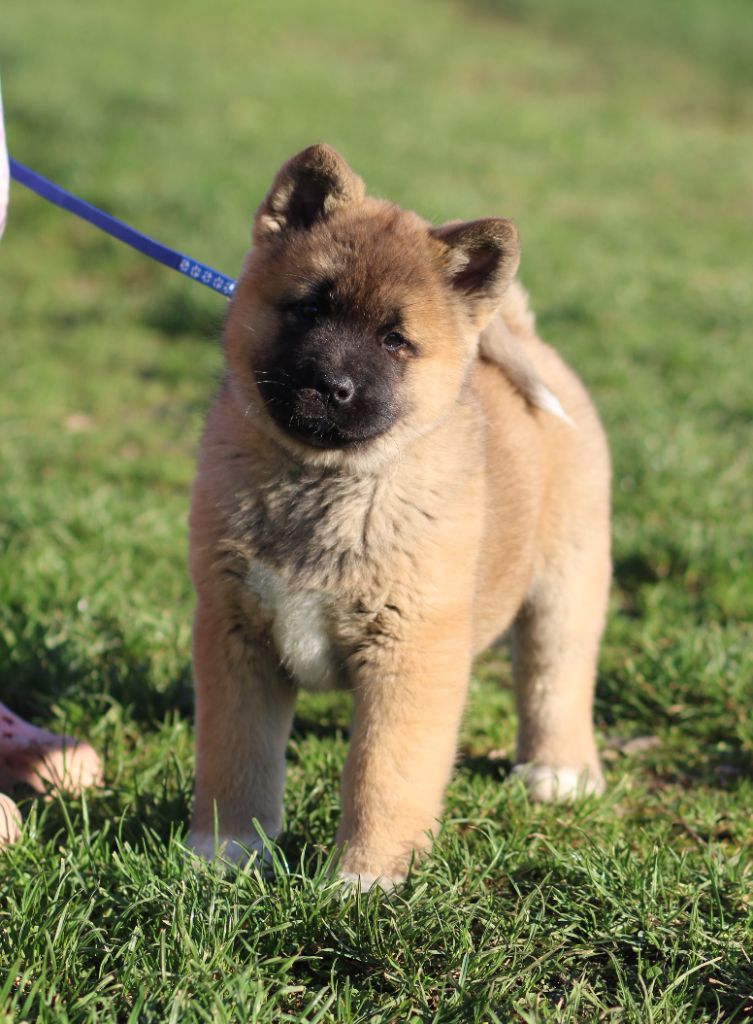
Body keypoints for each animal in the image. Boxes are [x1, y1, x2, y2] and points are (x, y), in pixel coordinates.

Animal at [188, 144, 614, 888]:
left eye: (395, 341)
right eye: (308, 308)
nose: (328, 386)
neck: (326, 481)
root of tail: (527, 339)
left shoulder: (409, 654)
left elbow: (382, 775)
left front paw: (364, 879)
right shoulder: (233, 635)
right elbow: (234, 757)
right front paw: (228, 850)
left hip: (566, 585)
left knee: (554, 679)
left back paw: (557, 772)